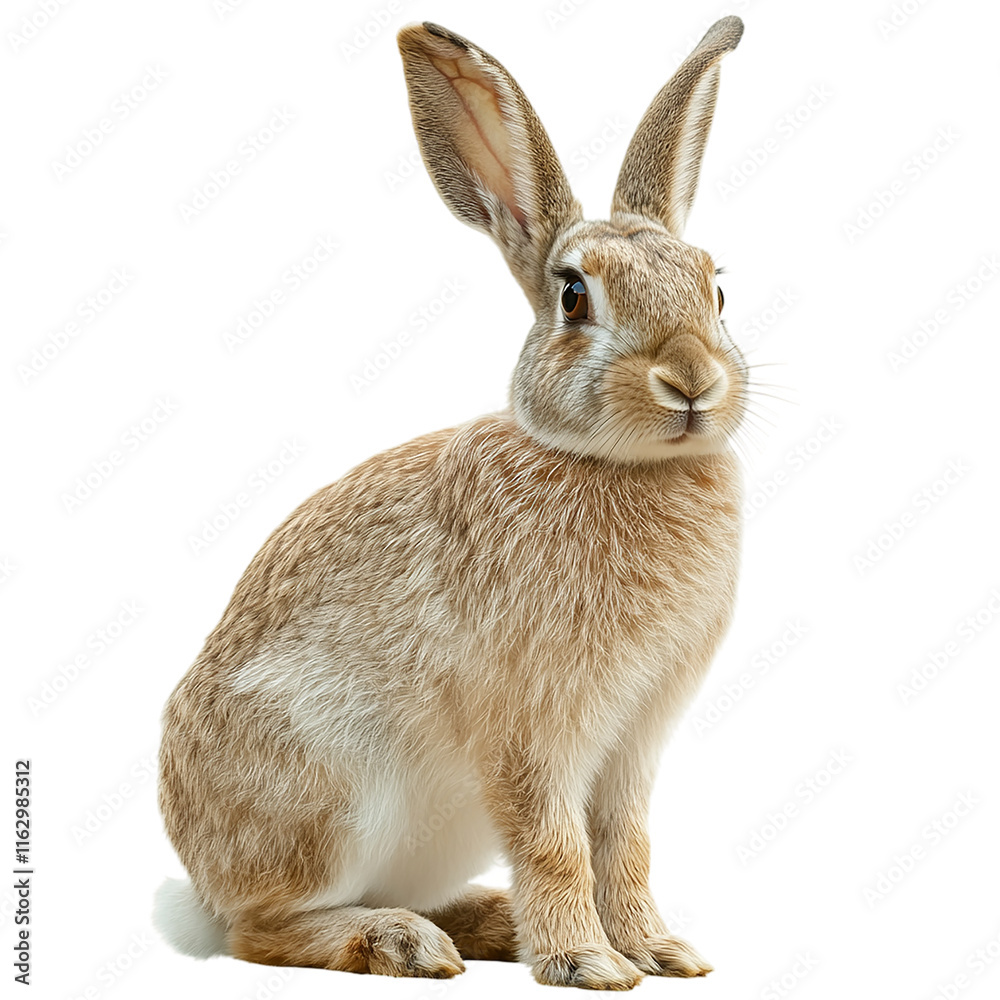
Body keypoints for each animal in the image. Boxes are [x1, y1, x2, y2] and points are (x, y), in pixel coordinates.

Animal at [155, 15, 747, 991]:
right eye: (574, 296)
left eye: (717, 287)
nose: (692, 380)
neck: (612, 464)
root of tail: (198, 872)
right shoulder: (532, 729)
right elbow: (556, 844)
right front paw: (589, 962)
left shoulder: (634, 740)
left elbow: (624, 845)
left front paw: (661, 952)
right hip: (330, 795)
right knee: (261, 929)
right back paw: (400, 943)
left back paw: (485, 924)